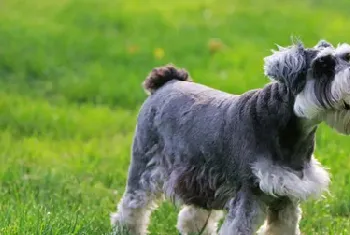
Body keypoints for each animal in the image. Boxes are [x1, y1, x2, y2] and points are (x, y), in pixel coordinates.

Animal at [110, 39, 350, 234]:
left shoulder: (286, 197)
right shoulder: (249, 195)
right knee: (131, 207)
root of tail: (168, 81)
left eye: (346, 55)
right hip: (144, 168)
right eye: (323, 65)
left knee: (194, 214)